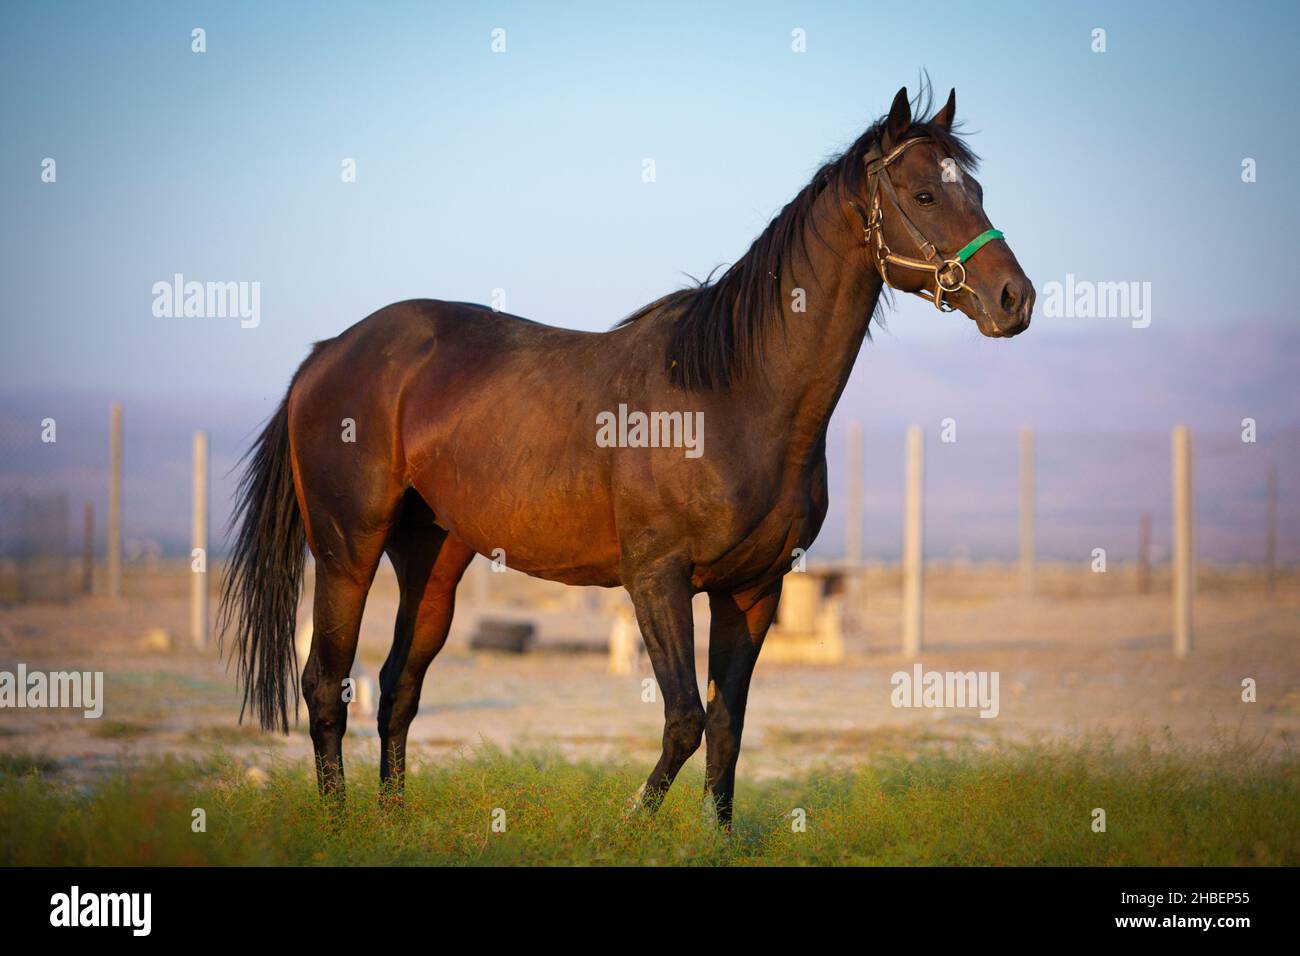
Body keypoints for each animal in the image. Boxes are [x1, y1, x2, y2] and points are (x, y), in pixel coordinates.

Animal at [215, 85, 1034, 827]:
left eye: (976, 189)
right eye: (924, 193)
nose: (1014, 299)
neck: (733, 394)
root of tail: (328, 353)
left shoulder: (754, 590)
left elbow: (727, 728)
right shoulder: (657, 579)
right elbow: (685, 720)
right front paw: (629, 826)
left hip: (434, 560)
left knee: (396, 689)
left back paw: (394, 824)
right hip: (347, 553)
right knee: (326, 684)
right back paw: (338, 826)